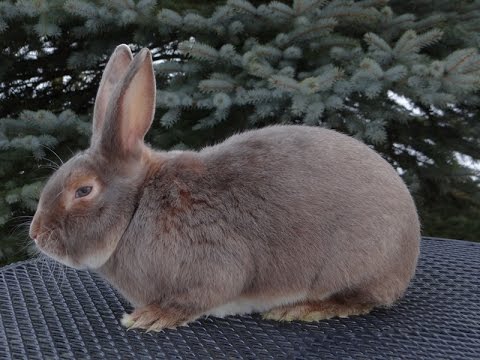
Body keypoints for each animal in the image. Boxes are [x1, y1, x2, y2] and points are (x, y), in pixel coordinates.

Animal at [30, 44, 420, 332]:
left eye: (83, 191)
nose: (36, 234)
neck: (137, 207)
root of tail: (410, 246)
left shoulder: (214, 267)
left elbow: (201, 296)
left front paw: (152, 317)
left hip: (354, 264)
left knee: (361, 299)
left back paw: (303, 309)